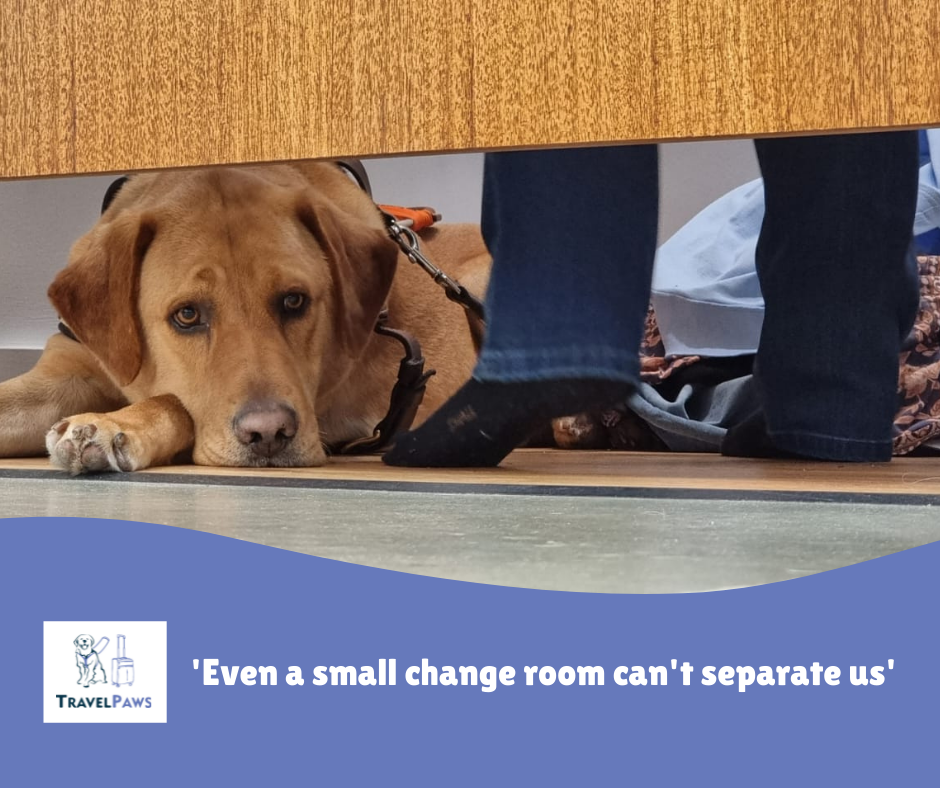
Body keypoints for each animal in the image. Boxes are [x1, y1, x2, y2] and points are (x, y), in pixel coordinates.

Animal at [0, 162, 488, 470]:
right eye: (187, 314)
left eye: (294, 301)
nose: (269, 434)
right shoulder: (68, 370)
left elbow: (177, 403)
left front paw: (111, 425)